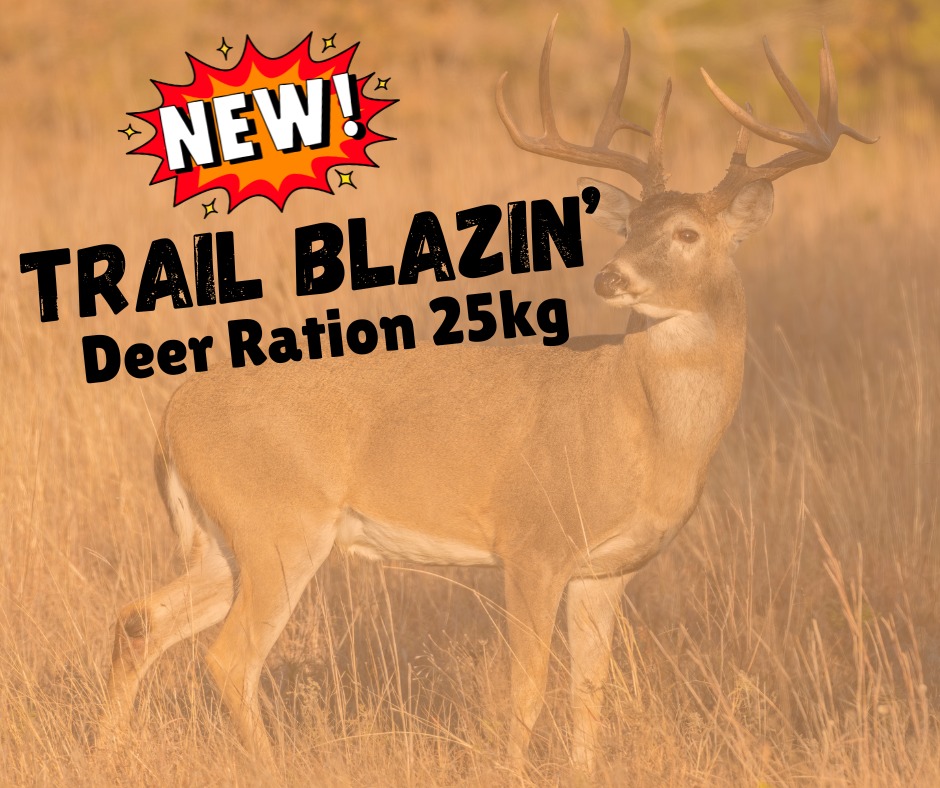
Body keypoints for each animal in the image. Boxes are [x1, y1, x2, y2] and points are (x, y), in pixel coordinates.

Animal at [99, 18, 874, 772]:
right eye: (631, 227)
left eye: (685, 232)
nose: (610, 277)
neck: (643, 429)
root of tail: (172, 415)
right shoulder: (533, 542)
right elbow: (526, 688)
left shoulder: (606, 570)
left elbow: (588, 689)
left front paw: (583, 769)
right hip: (279, 523)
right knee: (229, 657)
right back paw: (272, 764)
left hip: (224, 538)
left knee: (140, 619)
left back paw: (114, 752)